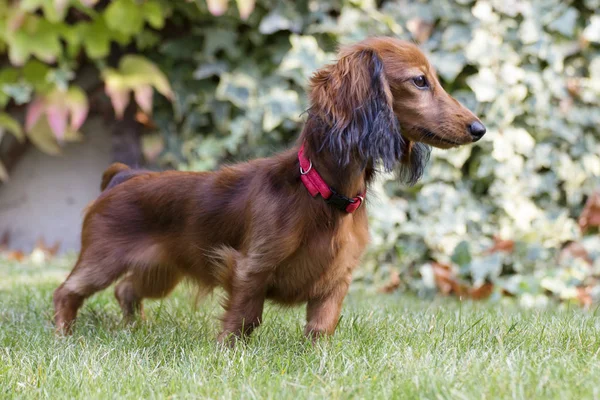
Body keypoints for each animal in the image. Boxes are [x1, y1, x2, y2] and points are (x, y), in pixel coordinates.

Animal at [55, 37, 488, 342]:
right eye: (420, 81)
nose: (479, 128)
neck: (322, 195)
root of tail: (124, 176)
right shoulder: (251, 268)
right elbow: (243, 320)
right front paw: (226, 356)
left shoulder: (336, 282)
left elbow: (320, 330)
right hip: (103, 260)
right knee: (67, 292)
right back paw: (65, 336)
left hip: (159, 271)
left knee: (126, 290)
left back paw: (134, 329)